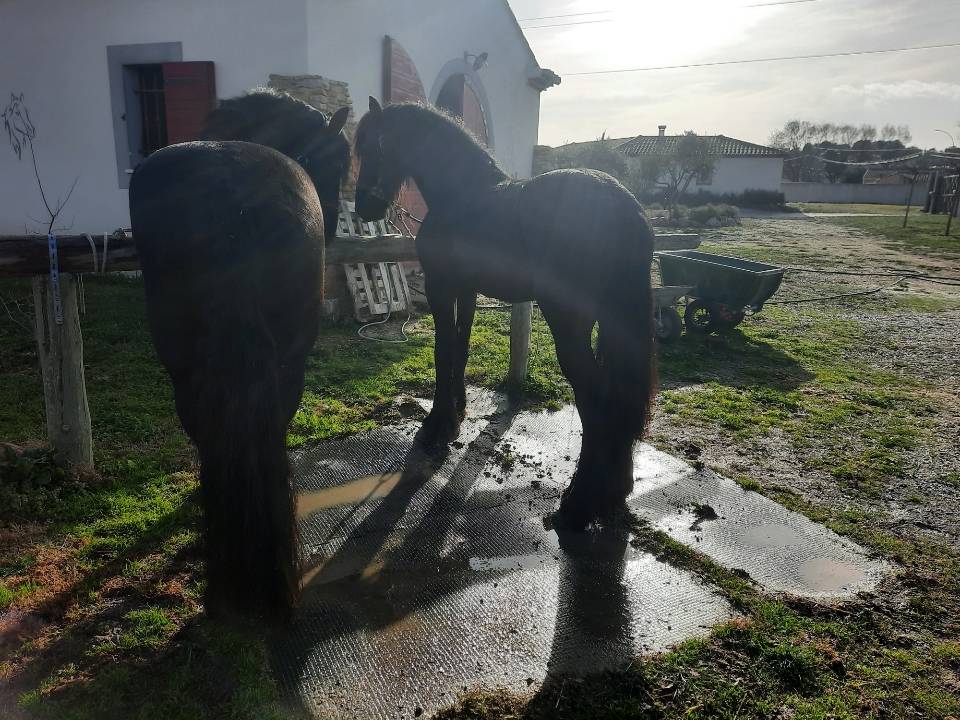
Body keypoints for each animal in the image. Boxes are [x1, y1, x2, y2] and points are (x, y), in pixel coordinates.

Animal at [354, 97, 655, 530]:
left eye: (373, 147)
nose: (364, 206)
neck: (462, 194)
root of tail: (623, 208)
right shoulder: (466, 290)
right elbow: (460, 349)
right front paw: (456, 415)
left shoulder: (441, 287)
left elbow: (443, 350)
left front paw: (435, 425)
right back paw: (615, 490)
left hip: (569, 321)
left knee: (595, 394)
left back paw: (579, 503)